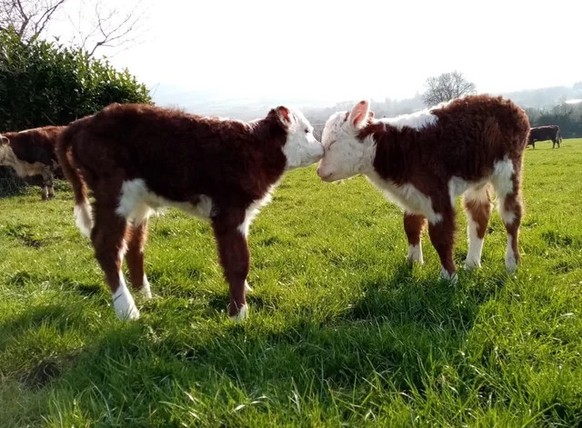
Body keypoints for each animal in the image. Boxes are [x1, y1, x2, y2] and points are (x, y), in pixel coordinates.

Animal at [56, 102, 324, 320]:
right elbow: (238, 262)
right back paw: (128, 311)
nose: (322, 148)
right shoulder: (230, 211)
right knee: (106, 246)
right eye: (306, 131)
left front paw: (245, 294)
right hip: (113, 193)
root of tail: (85, 121)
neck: (254, 149)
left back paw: (144, 295)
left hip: (138, 202)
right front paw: (239, 313)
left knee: (134, 245)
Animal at [318, 95, 532, 280]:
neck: (397, 148)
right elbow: (410, 226)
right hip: (478, 178)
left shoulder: (437, 194)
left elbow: (440, 236)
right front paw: (413, 263)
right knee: (480, 214)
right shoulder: (412, 194)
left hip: (509, 171)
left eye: (332, 143)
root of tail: (505, 101)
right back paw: (472, 264)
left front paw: (448, 277)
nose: (319, 171)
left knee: (511, 215)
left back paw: (512, 263)